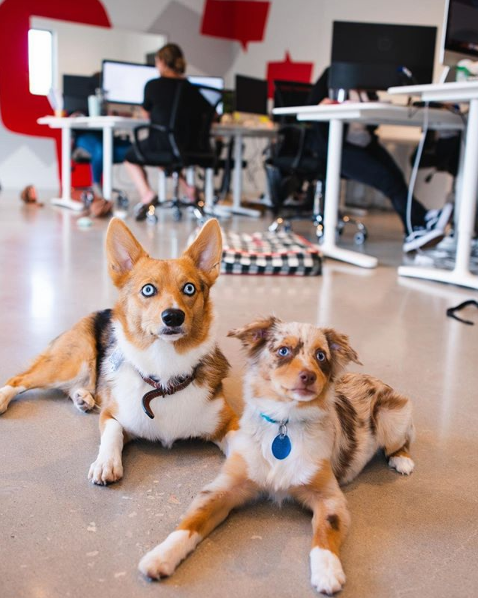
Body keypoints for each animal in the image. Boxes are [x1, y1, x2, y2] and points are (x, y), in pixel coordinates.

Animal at [0, 218, 238, 486]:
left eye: (189, 288)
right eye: (148, 290)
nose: (173, 316)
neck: (164, 374)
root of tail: (97, 313)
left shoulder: (230, 422)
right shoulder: (111, 415)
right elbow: (113, 431)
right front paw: (106, 463)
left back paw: (83, 397)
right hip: (73, 362)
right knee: (20, 379)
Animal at [139, 318, 414, 596]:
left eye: (321, 355)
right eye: (283, 350)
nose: (309, 376)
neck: (284, 421)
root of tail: (373, 378)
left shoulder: (330, 496)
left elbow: (326, 528)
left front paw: (327, 571)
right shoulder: (224, 488)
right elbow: (192, 521)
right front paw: (161, 556)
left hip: (391, 416)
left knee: (403, 441)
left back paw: (402, 460)